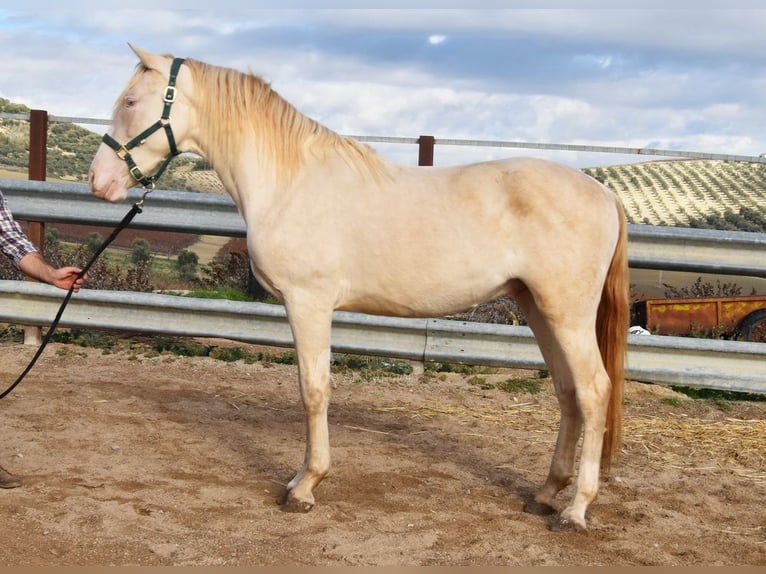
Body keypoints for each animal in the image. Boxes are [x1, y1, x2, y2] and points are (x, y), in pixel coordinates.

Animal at [88, 46, 632, 536]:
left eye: (132, 101)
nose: (98, 180)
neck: (290, 180)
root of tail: (605, 195)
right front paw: (301, 480)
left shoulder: (308, 303)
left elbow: (313, 390)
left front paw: (305, 487)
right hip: (538, 308)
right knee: (568, 392)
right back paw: (545, 494)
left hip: (567, 314)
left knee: (593, 390)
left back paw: (575, 511)